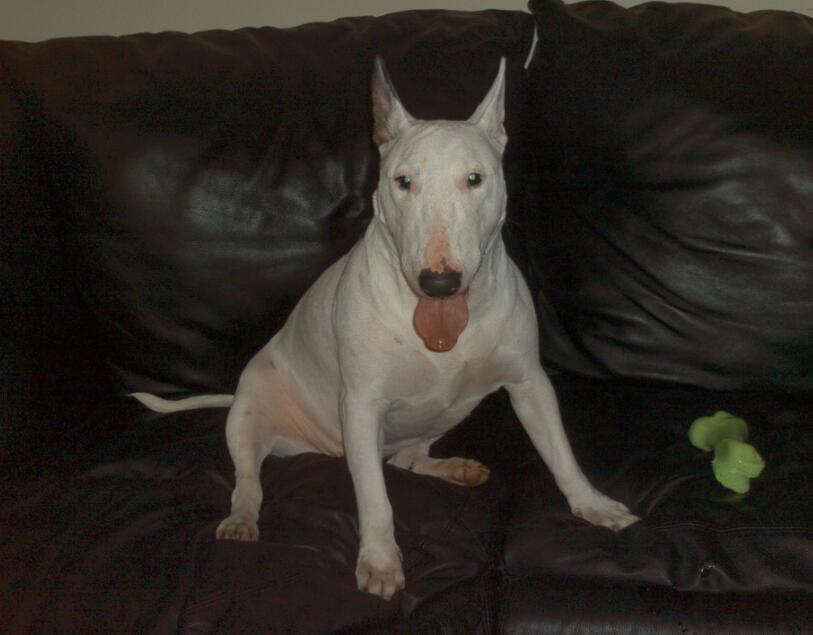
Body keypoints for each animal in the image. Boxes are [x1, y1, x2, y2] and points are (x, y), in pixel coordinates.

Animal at [133, 57, 639, 600]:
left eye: (475, 178)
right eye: (402, 181)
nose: (438, 283)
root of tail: (324, 448)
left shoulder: (529, 383)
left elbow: (560, 453)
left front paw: (594, 505)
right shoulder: (361, 403)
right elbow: (375, 498)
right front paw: (378, 561)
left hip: (437, 418)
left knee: (404, 458)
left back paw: (452, 467)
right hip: (250, 412)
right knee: (250, 477)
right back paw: (242, 519)